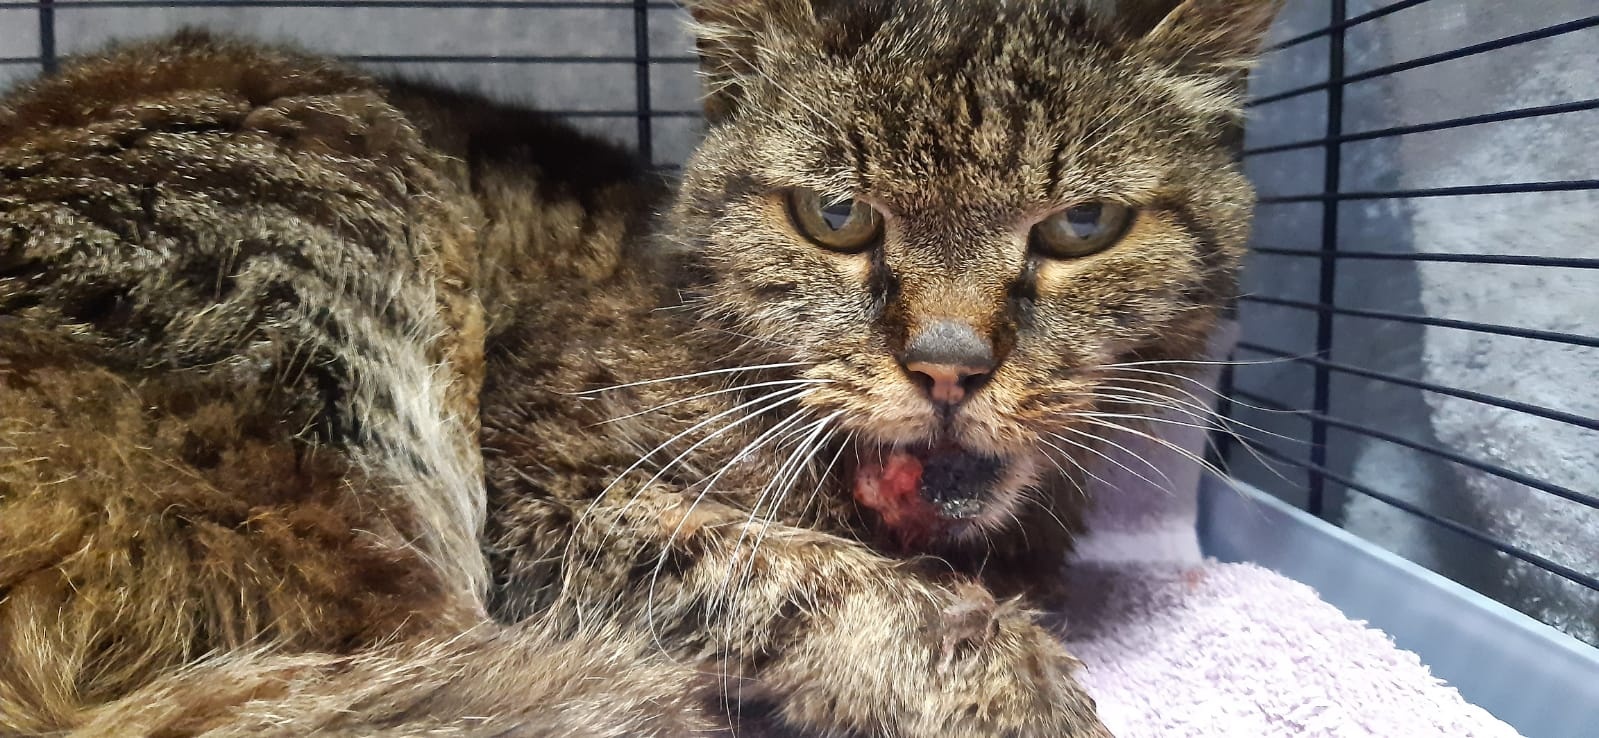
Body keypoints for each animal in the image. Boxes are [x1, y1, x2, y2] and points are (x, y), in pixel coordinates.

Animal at [0, 0, 1281, 735]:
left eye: (1080, 228)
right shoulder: (545, 512)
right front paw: (1014, 682)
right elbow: (799, 578)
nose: (950, 365)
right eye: (835, 217)